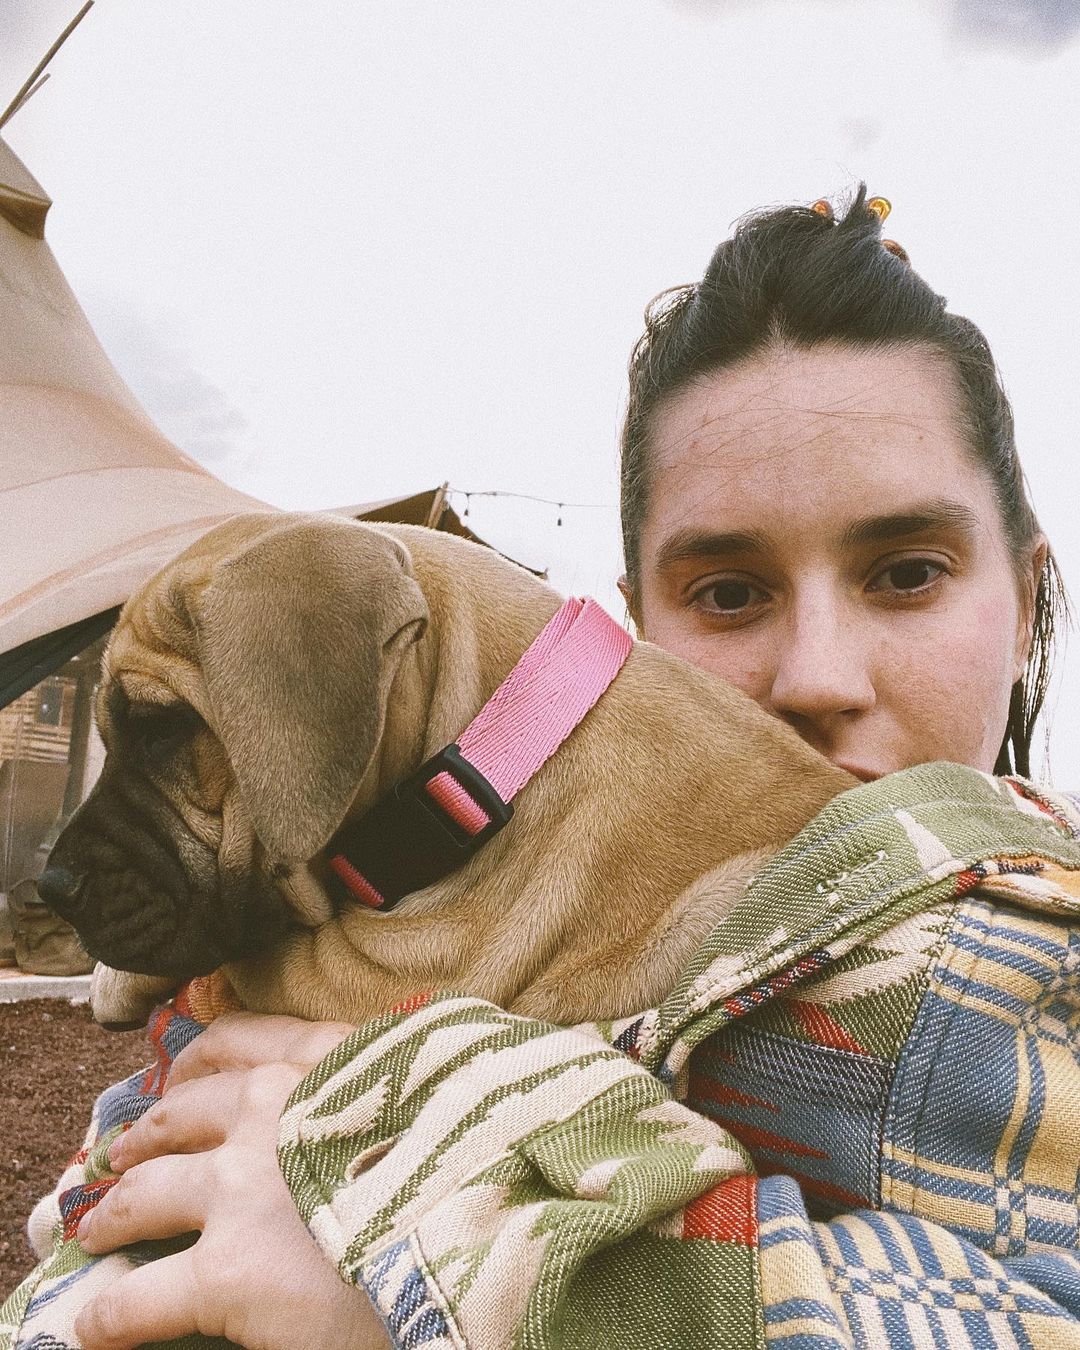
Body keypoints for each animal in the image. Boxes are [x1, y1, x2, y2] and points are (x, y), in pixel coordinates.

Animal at [40, 510, 853, 1026]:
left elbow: (239, 959)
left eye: (159, 729)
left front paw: (116, 981)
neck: (491, 736)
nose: (51, 888)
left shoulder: (383, 975)